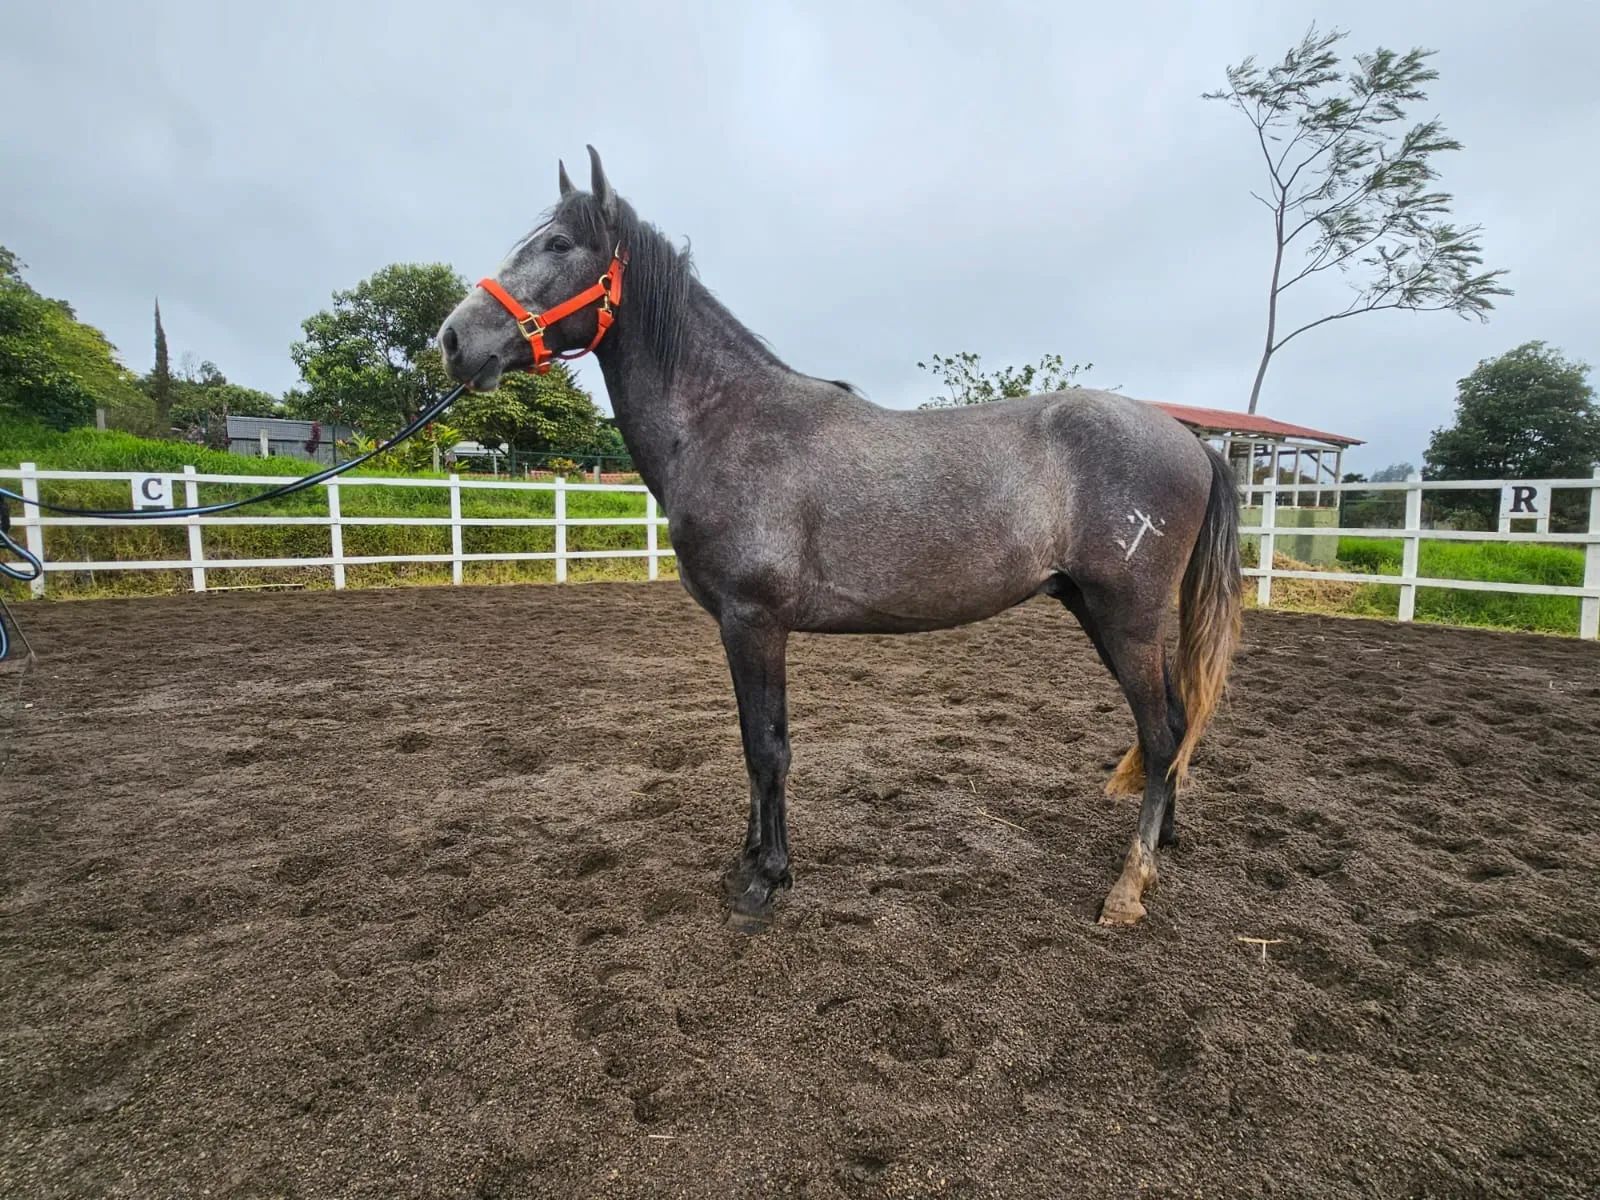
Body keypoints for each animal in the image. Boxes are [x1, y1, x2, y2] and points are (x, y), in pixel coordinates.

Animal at [439, 147, 1242, 930]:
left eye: (558, 244)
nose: (451, 340)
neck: (727, 422)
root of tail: (1192, 442)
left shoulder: (753, 620)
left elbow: (767, 749)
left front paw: (764, 882)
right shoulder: (744, 627)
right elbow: (753, 742)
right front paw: (749, 863)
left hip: (1126, 616)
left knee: (1162, 733)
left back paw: (1129, 888)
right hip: (1095, 610)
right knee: (1171, 725)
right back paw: (1163, 843)